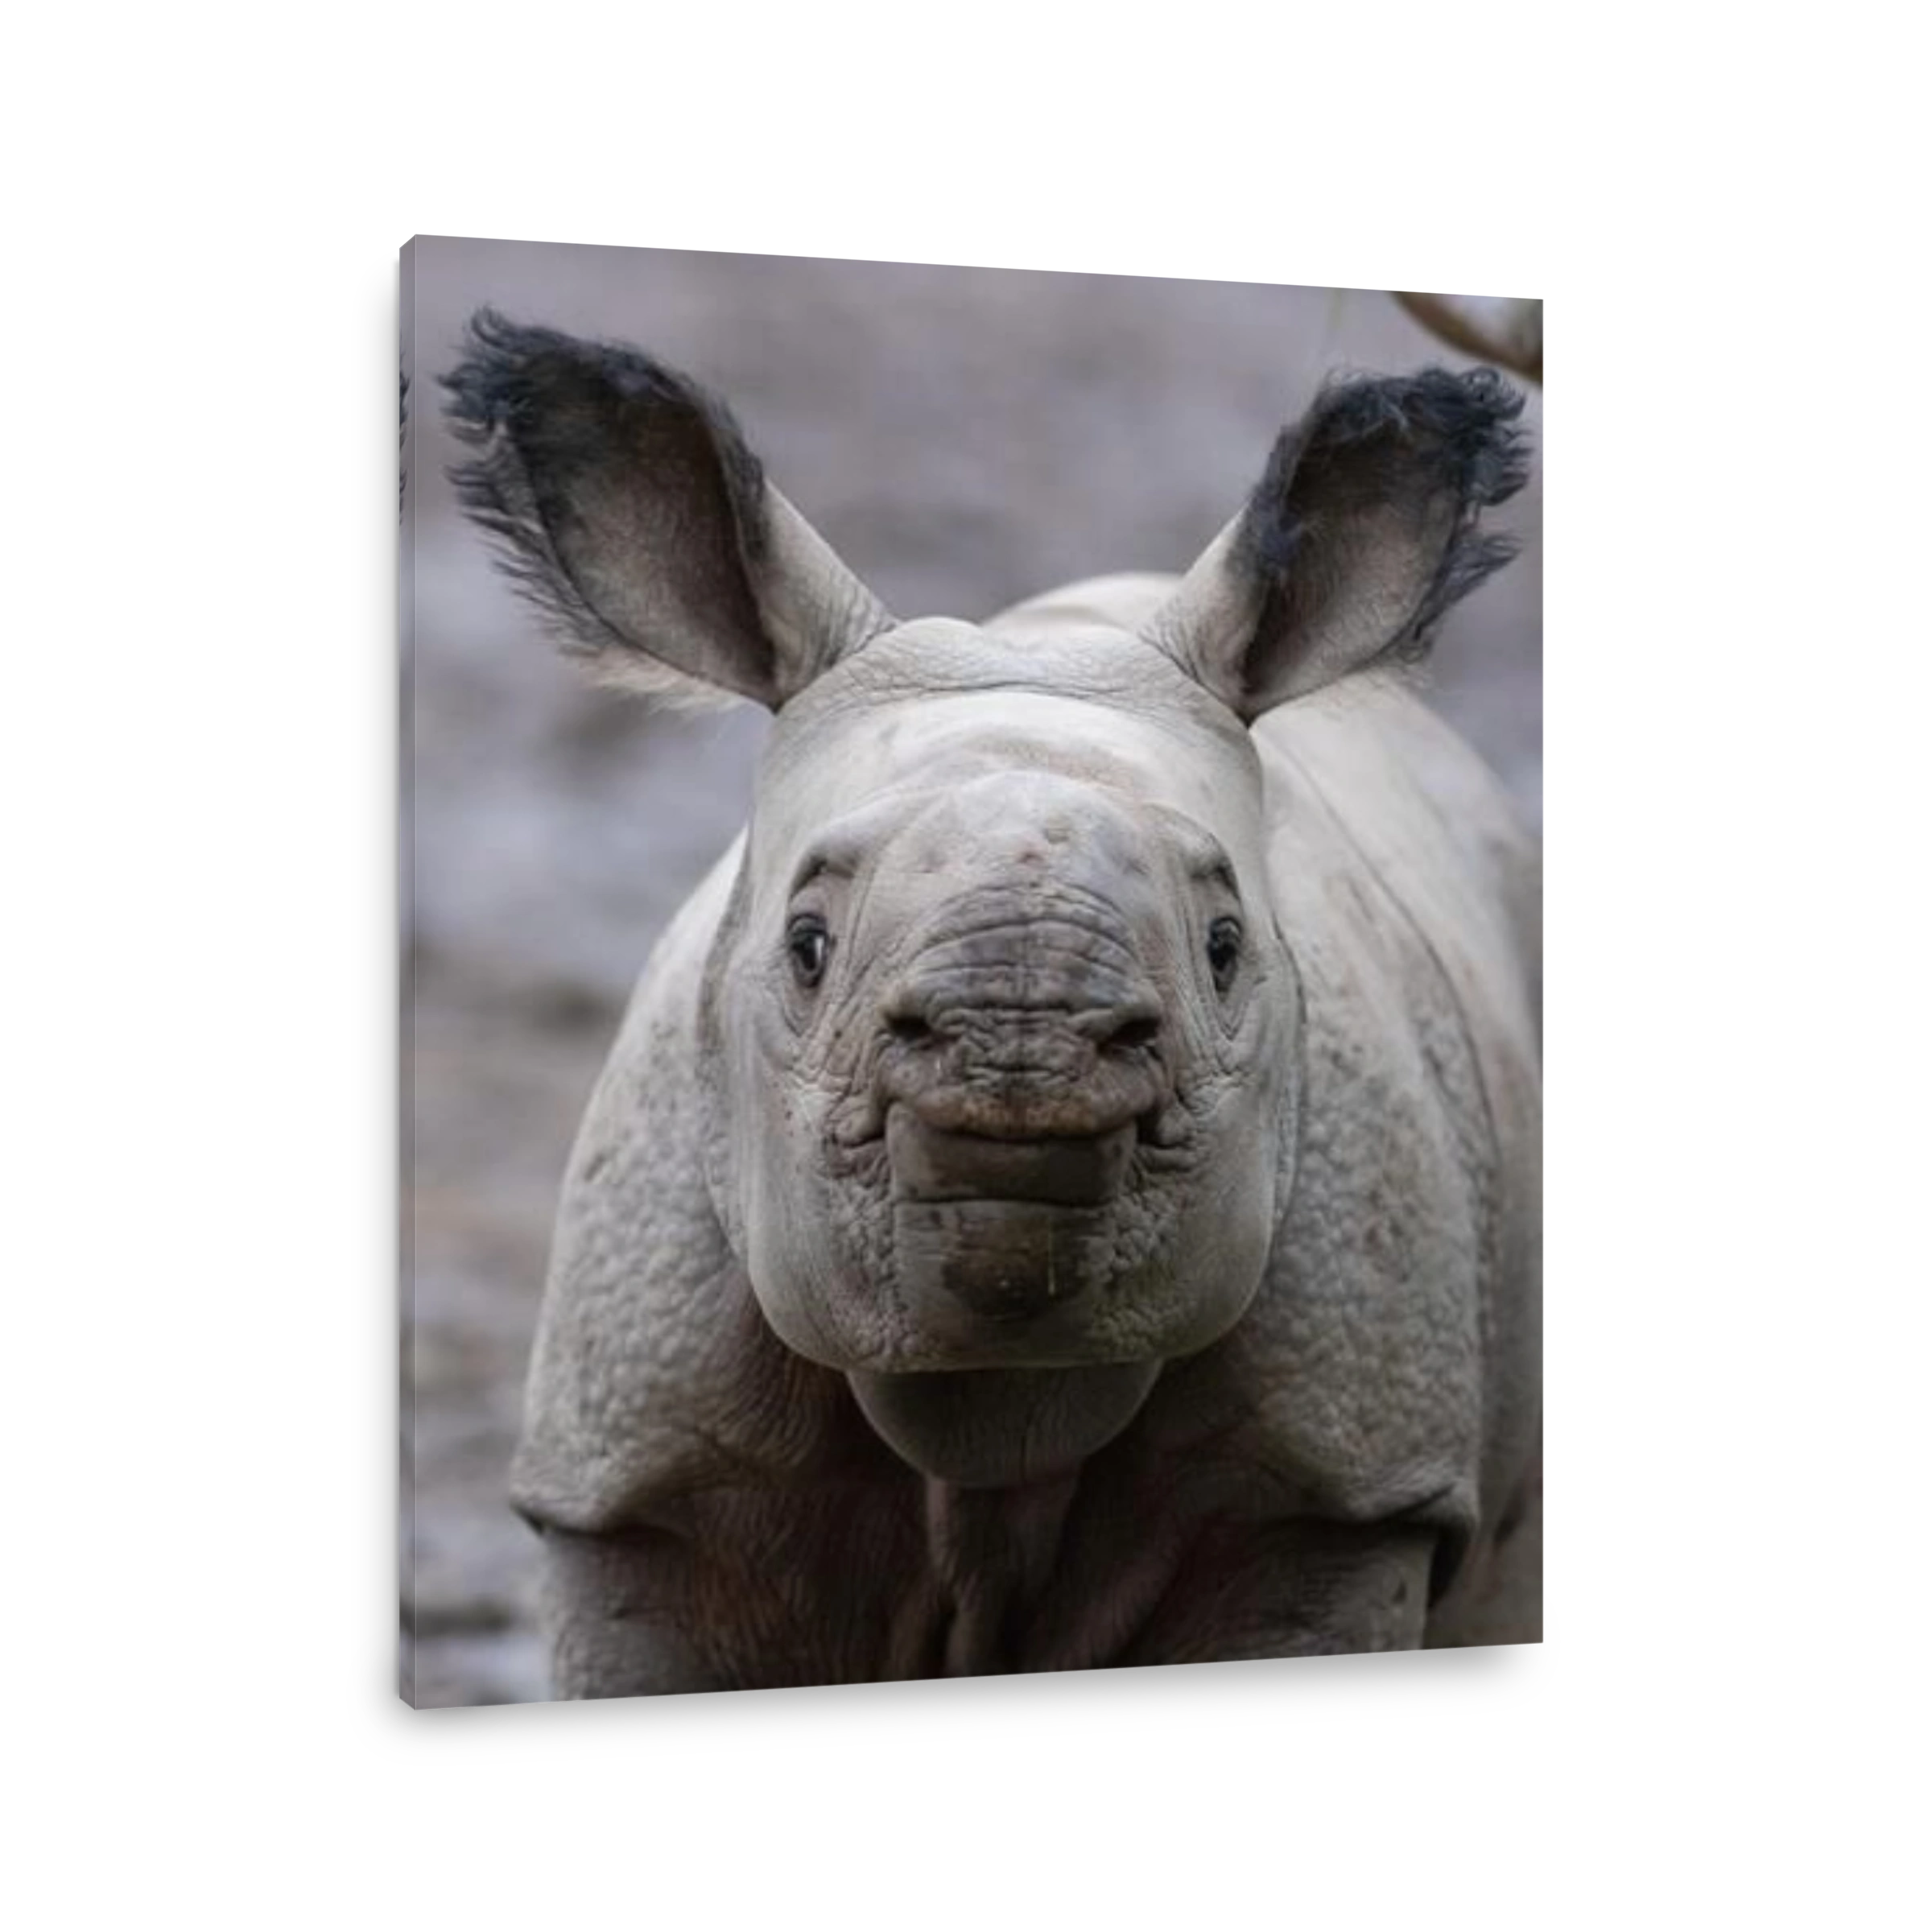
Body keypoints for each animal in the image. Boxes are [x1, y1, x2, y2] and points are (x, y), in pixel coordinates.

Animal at [442, 309, 1545, 1695]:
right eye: (806, 946)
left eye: (1225, 944)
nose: (1024, 1035)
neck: (996, 1396)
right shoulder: (636, 1483)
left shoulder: (1335, 1489)